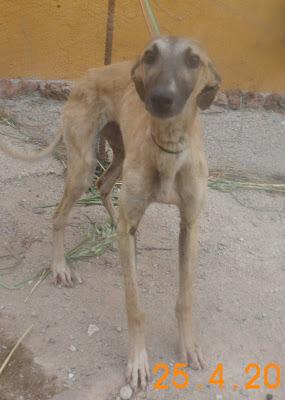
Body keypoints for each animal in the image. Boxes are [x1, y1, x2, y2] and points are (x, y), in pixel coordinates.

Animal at [0, 36, 220, 388]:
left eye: (194, 60)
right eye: (149, 55)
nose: (161, 98)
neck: (168, 145)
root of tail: (88, 74)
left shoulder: (190, 223)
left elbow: (185, 297)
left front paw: (188, 347)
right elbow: (135, 306)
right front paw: (138, 361)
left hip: (119, 155)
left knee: (105, 188)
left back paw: (116, 228)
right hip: (82, 166)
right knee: (60, 215)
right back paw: (60, 267)